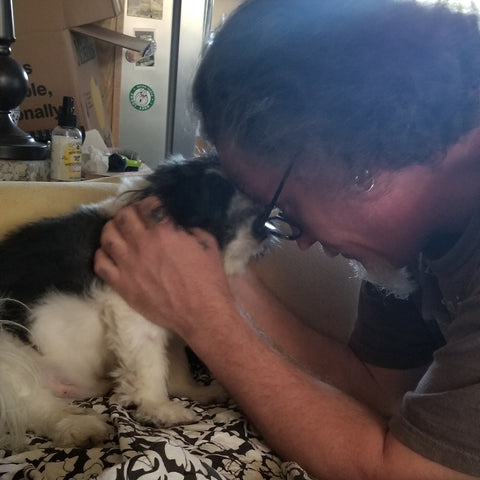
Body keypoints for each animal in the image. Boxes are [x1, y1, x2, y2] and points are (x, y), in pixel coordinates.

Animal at [0, 156, 272, 452]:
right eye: (215, 202)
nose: (266, 226)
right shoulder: (134, 316)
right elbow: (150, 366)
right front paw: (160, 409)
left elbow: (176, 363)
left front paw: (194, 392)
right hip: (11, 358)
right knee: (34, 406)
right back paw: (78, 426)